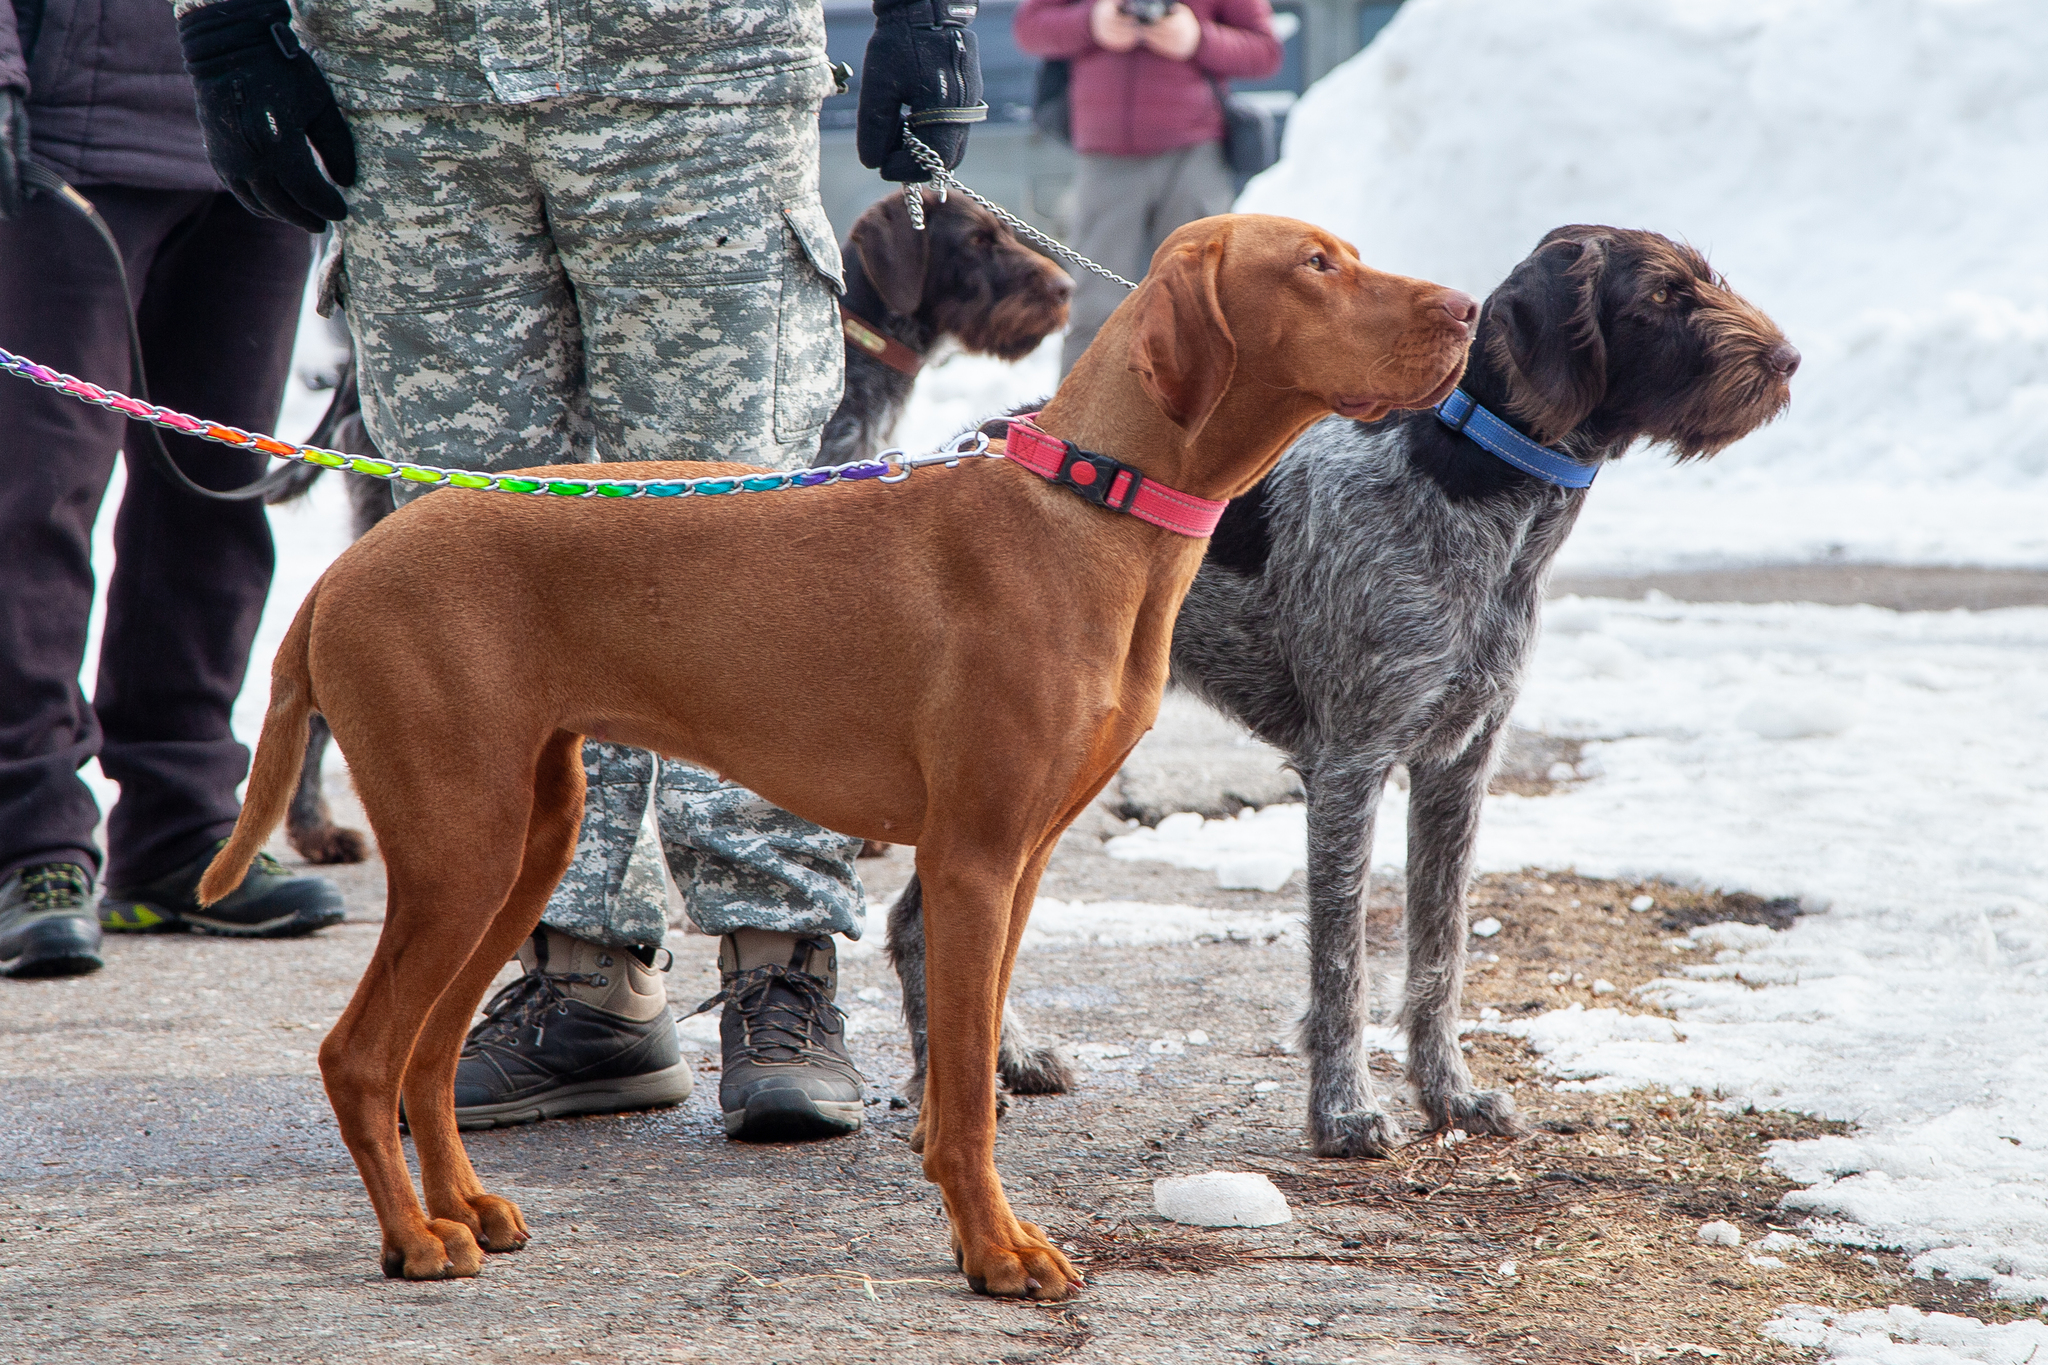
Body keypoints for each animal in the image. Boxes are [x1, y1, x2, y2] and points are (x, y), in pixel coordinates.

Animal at [199, 213, 1474, 1301]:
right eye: (1315, 265)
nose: (1465, 308)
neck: (1087, 510)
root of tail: (337, 577)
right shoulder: (971, 862)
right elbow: (965, 1092)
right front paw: (993, 1255)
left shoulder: (1017, 867)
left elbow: (972, 1078)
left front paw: (981, 1228)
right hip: (459, 841)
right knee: (360, 1055)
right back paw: (413, 1240)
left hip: (526, 835)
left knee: (425, 1053)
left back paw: (462, 1207)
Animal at [888, 224, 1802, 1154]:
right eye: (1658, 296)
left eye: (1708, 278)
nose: (1787, 358)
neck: (1480, 493)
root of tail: (967, 442)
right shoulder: (1349, 765)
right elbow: (1342, 961)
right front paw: (1343, 1109)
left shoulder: (1457, 766)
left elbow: (1440, 952)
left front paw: (1450, 1094)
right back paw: (948, 1084)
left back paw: (1001, 1058)